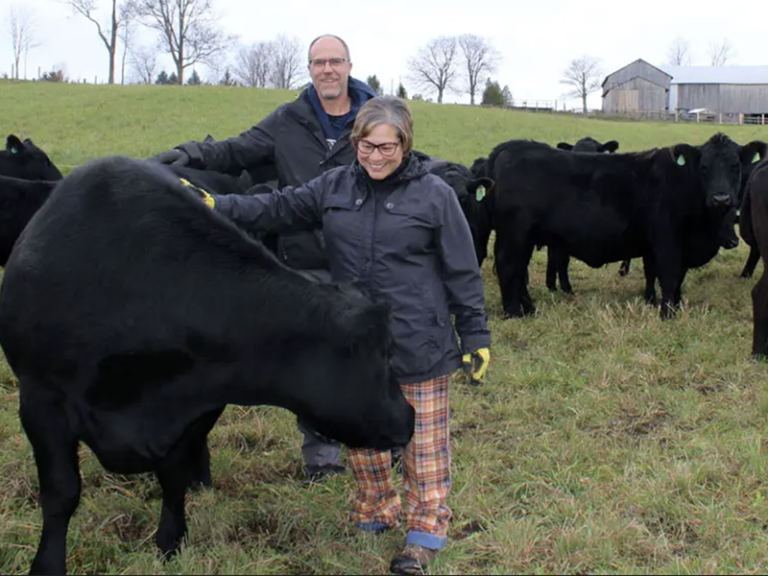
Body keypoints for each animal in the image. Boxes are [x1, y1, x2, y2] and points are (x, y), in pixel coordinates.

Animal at [0, 155, 414, 572]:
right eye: (385, 356)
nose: (408, 417)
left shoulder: (200, 402)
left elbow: (173, 473)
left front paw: (170, 543)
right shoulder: (40, 400)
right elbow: (61, 491)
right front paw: (47, 564)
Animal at [484, 132, 764, 318]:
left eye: (735, 167)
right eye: (704, 167)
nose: (721, 198)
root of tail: (511, 147)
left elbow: (675, 279)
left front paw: (675, 305)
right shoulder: (667, 241)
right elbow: (669, 276)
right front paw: (667, 314)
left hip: (525, 237)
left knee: (518, 270)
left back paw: (529, 308)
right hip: (515, 235)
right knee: (509, 266)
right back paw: (514, 312)